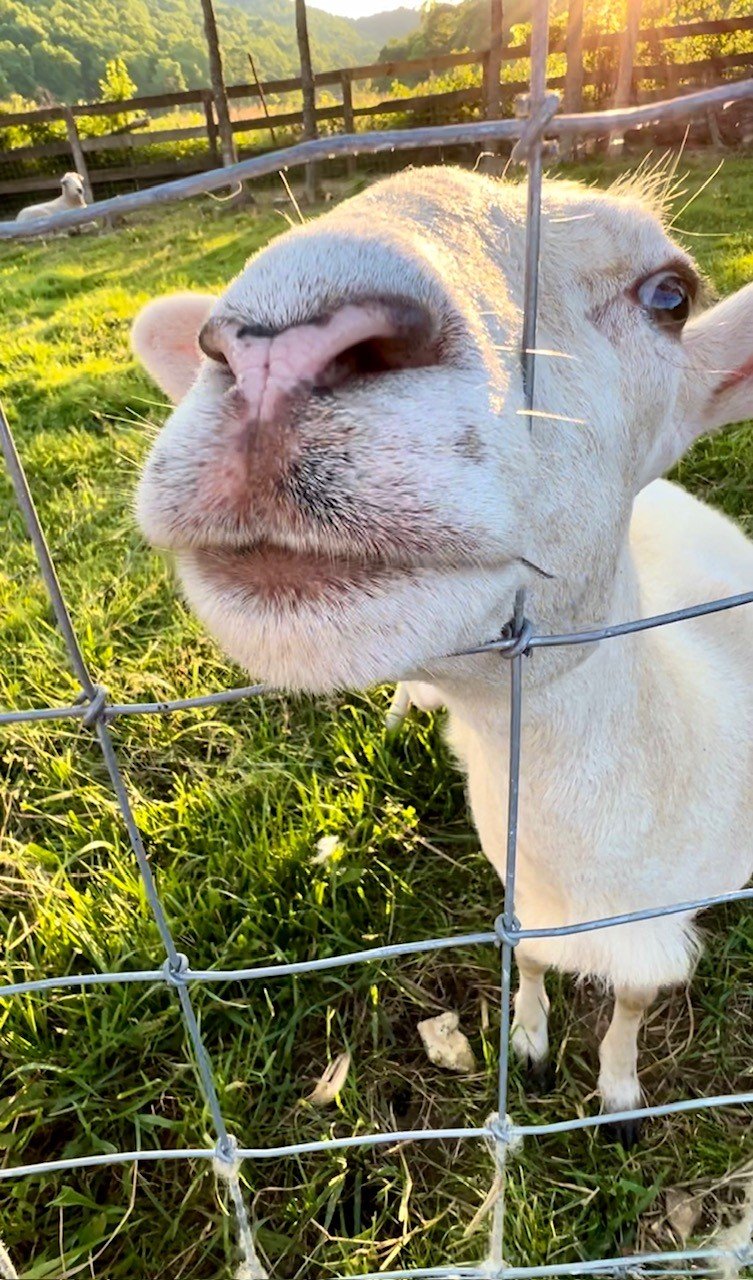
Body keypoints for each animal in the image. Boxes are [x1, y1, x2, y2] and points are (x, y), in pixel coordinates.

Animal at [131, 166, 753, 1142]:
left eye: (669, 296)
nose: (273, 352)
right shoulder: (521, 890)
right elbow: (527, 965)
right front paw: (529, 1042)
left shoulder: (660, 923)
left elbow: (632, 1005)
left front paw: (615, 1094)